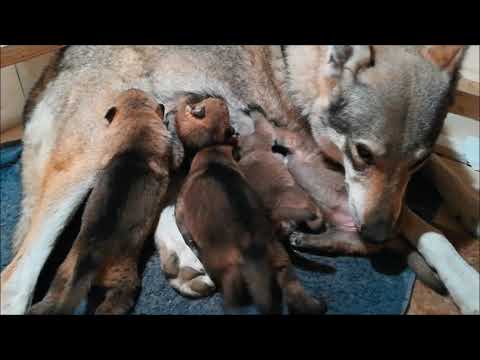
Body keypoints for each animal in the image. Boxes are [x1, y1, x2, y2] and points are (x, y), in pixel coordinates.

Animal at [29, 88, 184, 314]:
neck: (136, 126)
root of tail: (87, 262)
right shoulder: (171, 156)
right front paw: (170, 122)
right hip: (124, 278)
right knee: (117, 301)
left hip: (64, 271)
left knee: (55, 293)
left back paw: (38, 307)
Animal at [172, 95, 326, 316]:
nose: (218, 97)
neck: (211, 148)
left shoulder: (181, 207)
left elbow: (182, 226)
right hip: (279, 257)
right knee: (291, 287)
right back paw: (313, 305)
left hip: (226, 270)